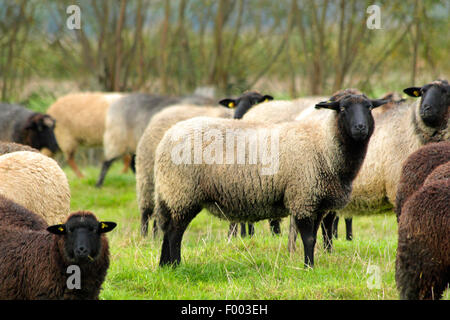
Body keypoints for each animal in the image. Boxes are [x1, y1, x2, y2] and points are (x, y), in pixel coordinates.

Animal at [135, 91, 272, 236]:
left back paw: (155, 236)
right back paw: (145, 236)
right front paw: (235, 236)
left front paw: (246, 235)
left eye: (255, 102)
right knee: (146, 211)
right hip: (150, 175)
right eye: (236, 103)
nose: (237, 116)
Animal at [153, 90, 388, 268]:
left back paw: (165, 266)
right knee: (175, 232)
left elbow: (315, 236)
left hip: (171, 192)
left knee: (167, 228)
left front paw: (309, 265)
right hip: (183, 192)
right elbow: (308, 238)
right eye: (343, 109)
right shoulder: (302, 197)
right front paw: (308, 268)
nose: (360, 128)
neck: (325, 146)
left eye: (369, 107)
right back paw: (176, 265)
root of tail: (165, 139)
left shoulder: (317, 203)